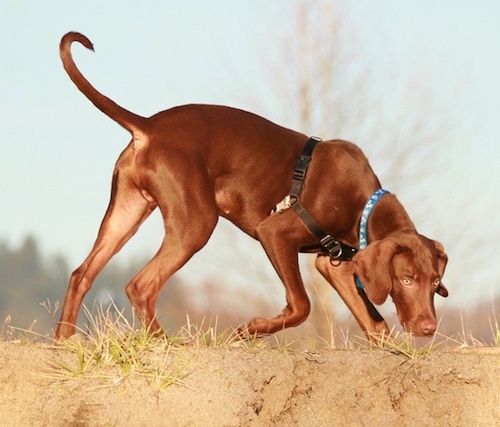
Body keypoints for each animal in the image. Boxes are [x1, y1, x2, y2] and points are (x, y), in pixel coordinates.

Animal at [55, 32, 450, 342]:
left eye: (434, 283)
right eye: (406, 279)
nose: (428, 328)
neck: (363, 203)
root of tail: (148, 126)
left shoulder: (334, 264)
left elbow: (376, 325)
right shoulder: (274, 232)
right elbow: (301, 305)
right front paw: (252, 329)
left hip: (126, 211)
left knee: (81, 274)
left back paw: (63, 343)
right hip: (196, 222)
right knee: (141, 286)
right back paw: (163, 344)